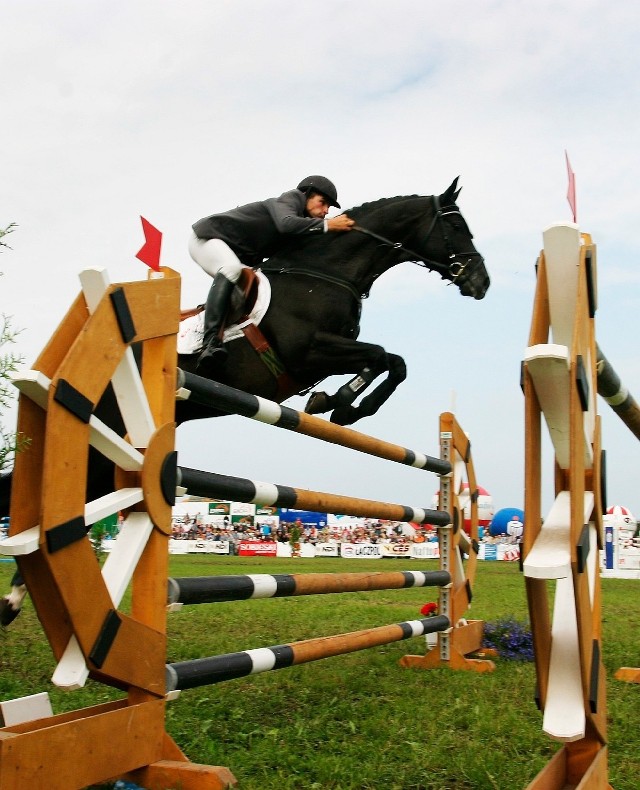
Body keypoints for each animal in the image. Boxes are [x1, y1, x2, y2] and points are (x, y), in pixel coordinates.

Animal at [1, 179, 490, 624]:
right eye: (457, 226)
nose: (481, 282)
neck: (327, 272)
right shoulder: (309, 351)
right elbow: (381, 357)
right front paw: (341, 403)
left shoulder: (326, 354)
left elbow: (393, 361)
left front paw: (340, 404)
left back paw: (18, 602)